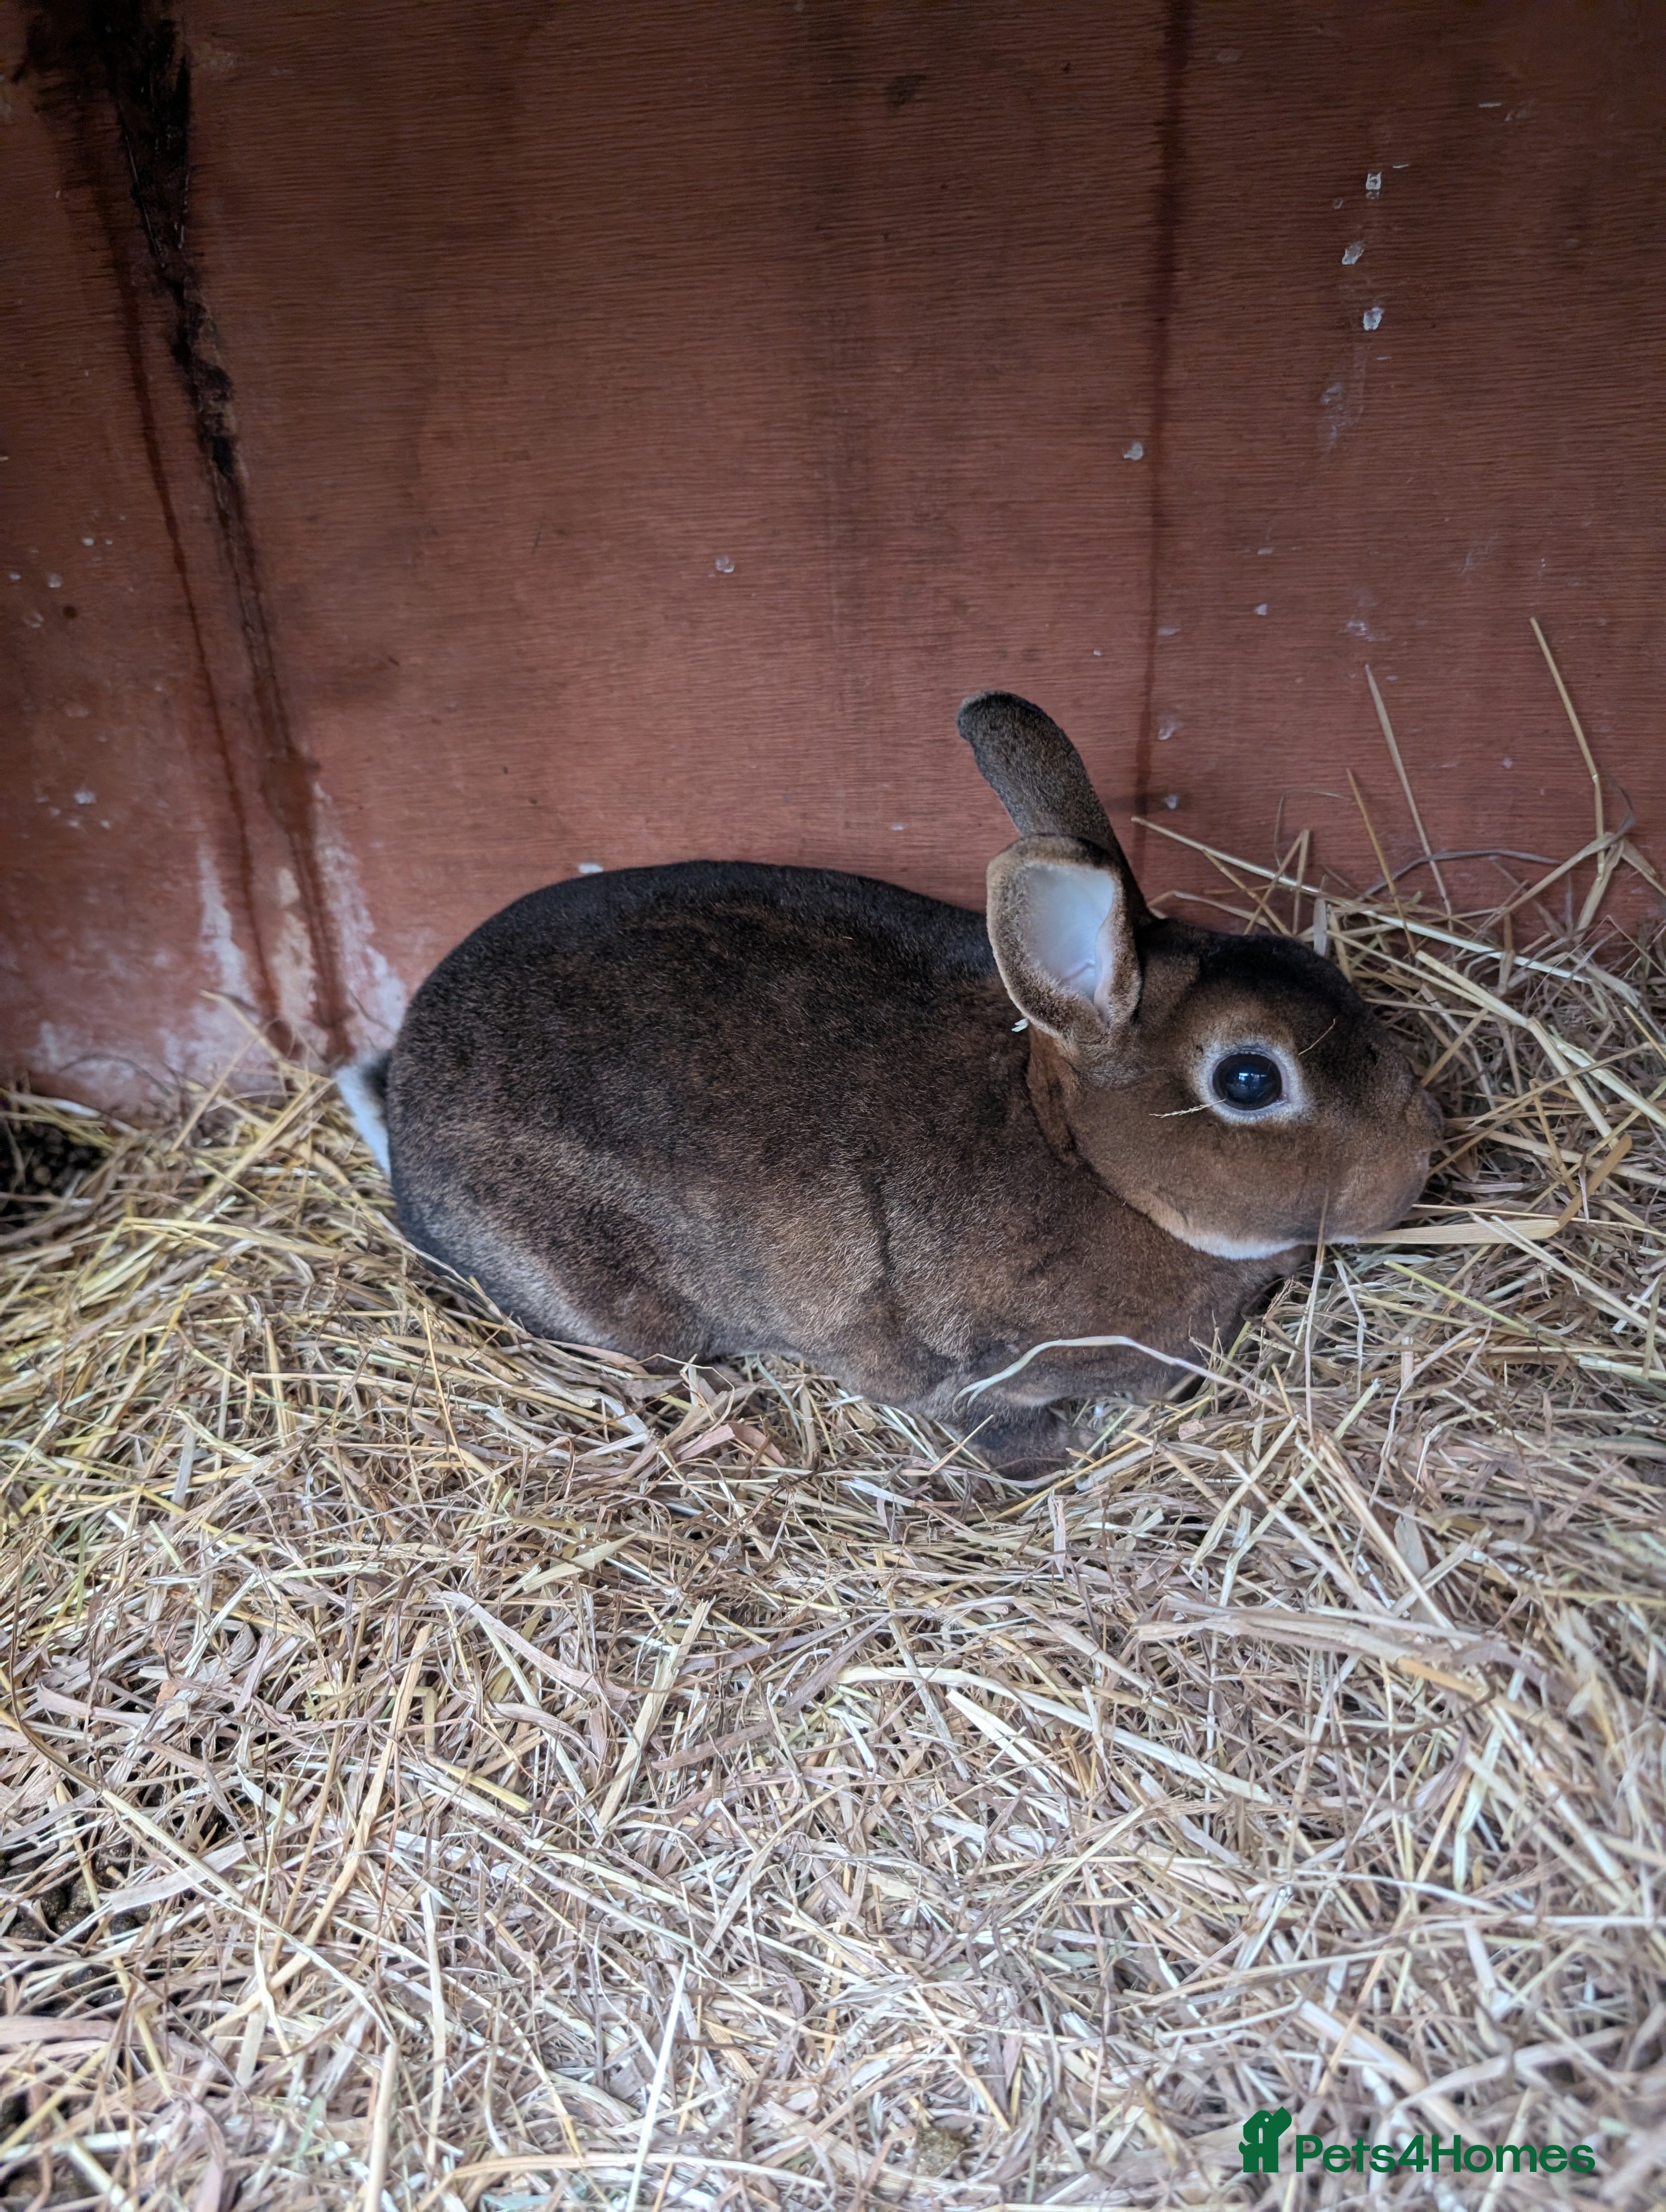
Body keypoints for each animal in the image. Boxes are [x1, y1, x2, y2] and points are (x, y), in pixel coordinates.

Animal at [345, 692, 1440, 1475]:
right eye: (1250, 1078)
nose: (1415, 1169)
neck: (1088, 1162)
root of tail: (403, 1104)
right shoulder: (987, 1371)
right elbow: (998, 1430)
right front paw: (1062, 1457)